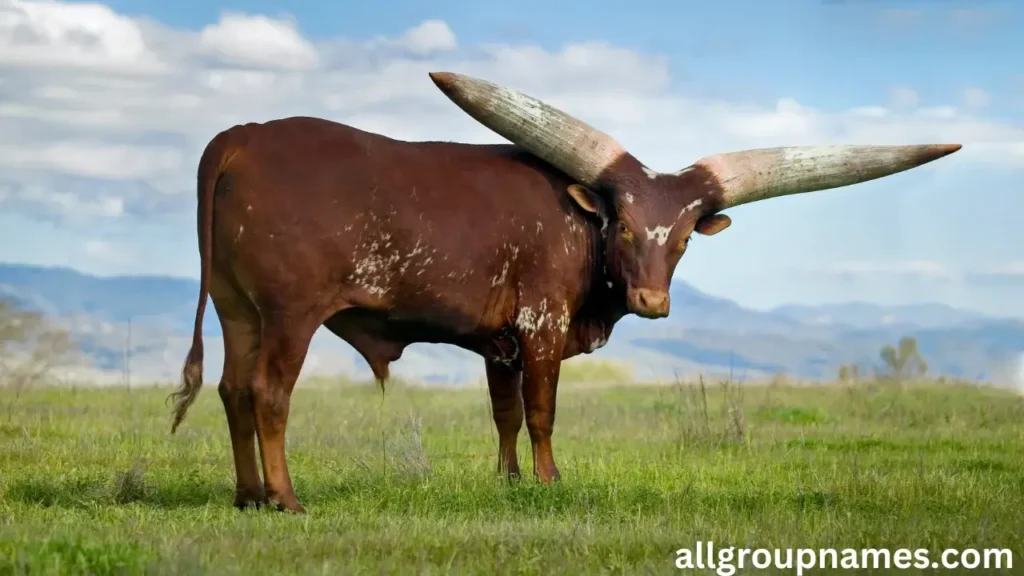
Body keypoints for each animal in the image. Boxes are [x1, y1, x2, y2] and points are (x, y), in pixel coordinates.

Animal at [167, 71, 958, 510]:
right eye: (625, 224)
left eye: (682, 238)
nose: (653, 303)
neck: (581, 227)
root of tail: (241, 137)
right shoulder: (540, 325)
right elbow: (543, 413)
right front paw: (548, 481)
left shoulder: (497, 343)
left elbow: (505, 415)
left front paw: (509, 482)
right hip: (289, 313)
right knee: (269, 394)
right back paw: (286, 500)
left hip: (239, 311)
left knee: (232, 391)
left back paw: (246, 497)